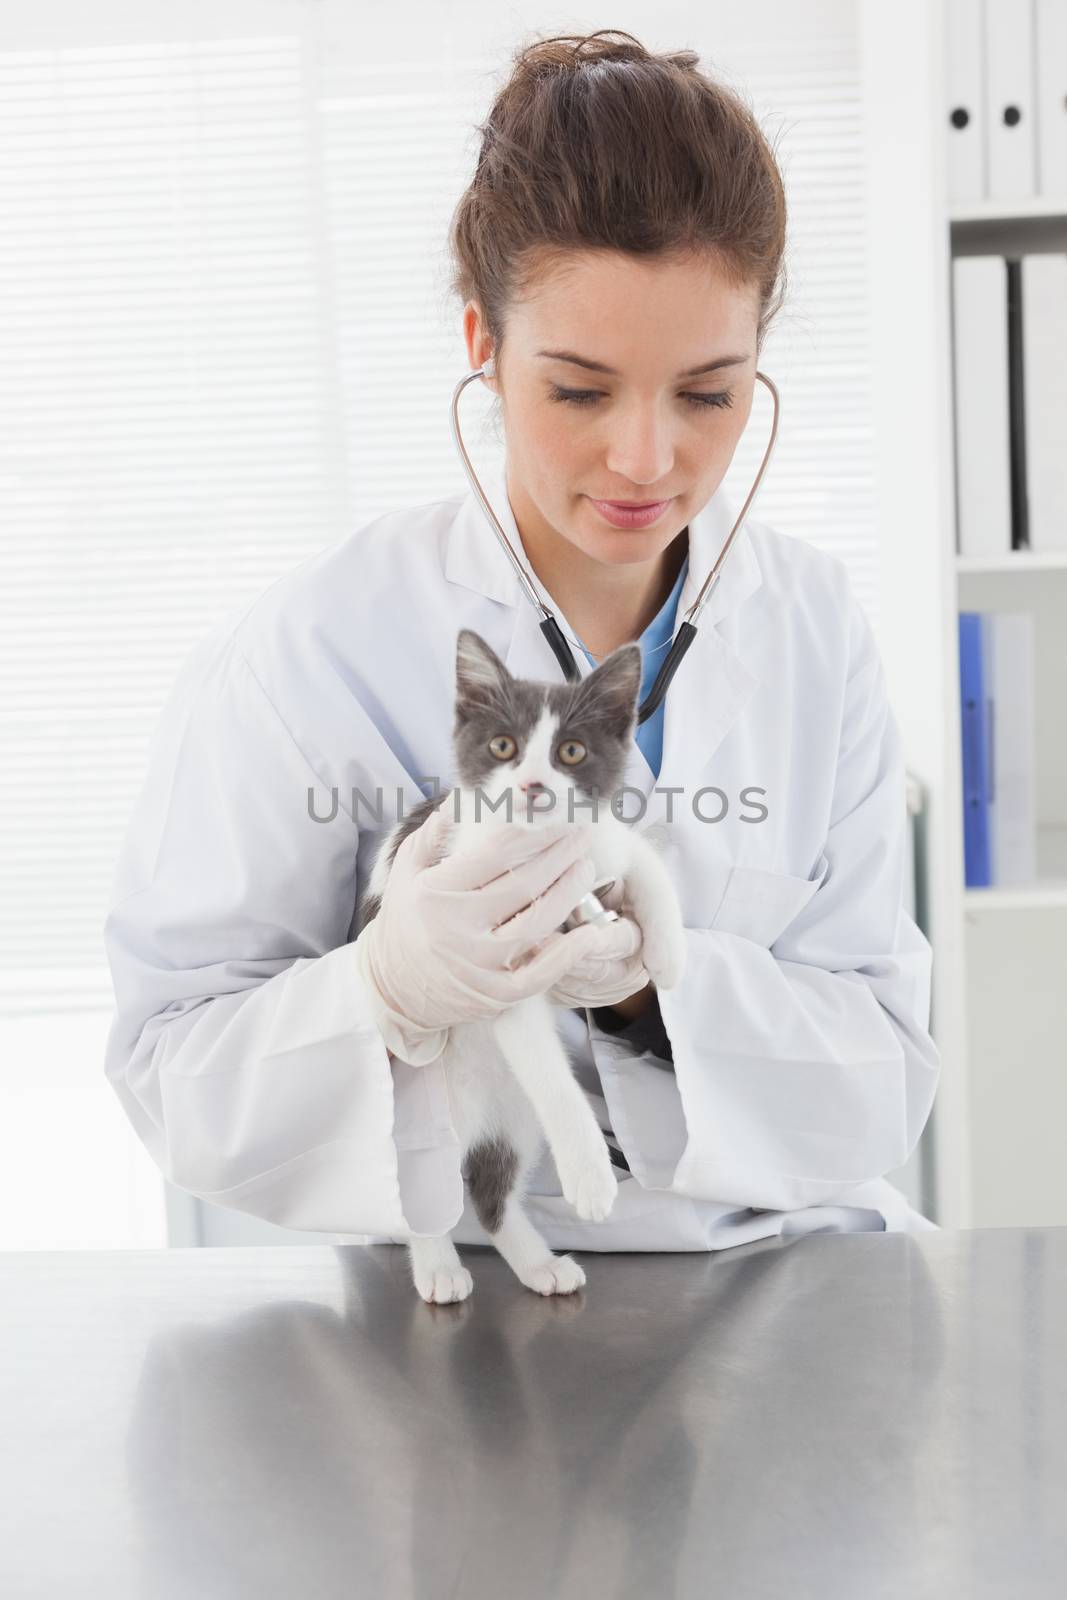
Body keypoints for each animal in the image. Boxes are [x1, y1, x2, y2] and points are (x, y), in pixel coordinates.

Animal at [358, 624, 687, 1299]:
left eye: (571, 752)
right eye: (504, 746)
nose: (533, 787)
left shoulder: (604, 844)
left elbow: (647, 867)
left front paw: (666, 957)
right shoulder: (489, 961)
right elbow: (552, 1077)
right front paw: (591, 1176)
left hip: (513, 1119)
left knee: (494, 1190)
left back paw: (537, 1264)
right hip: (422, 1115)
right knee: (423, 1195)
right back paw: (437, 1267)